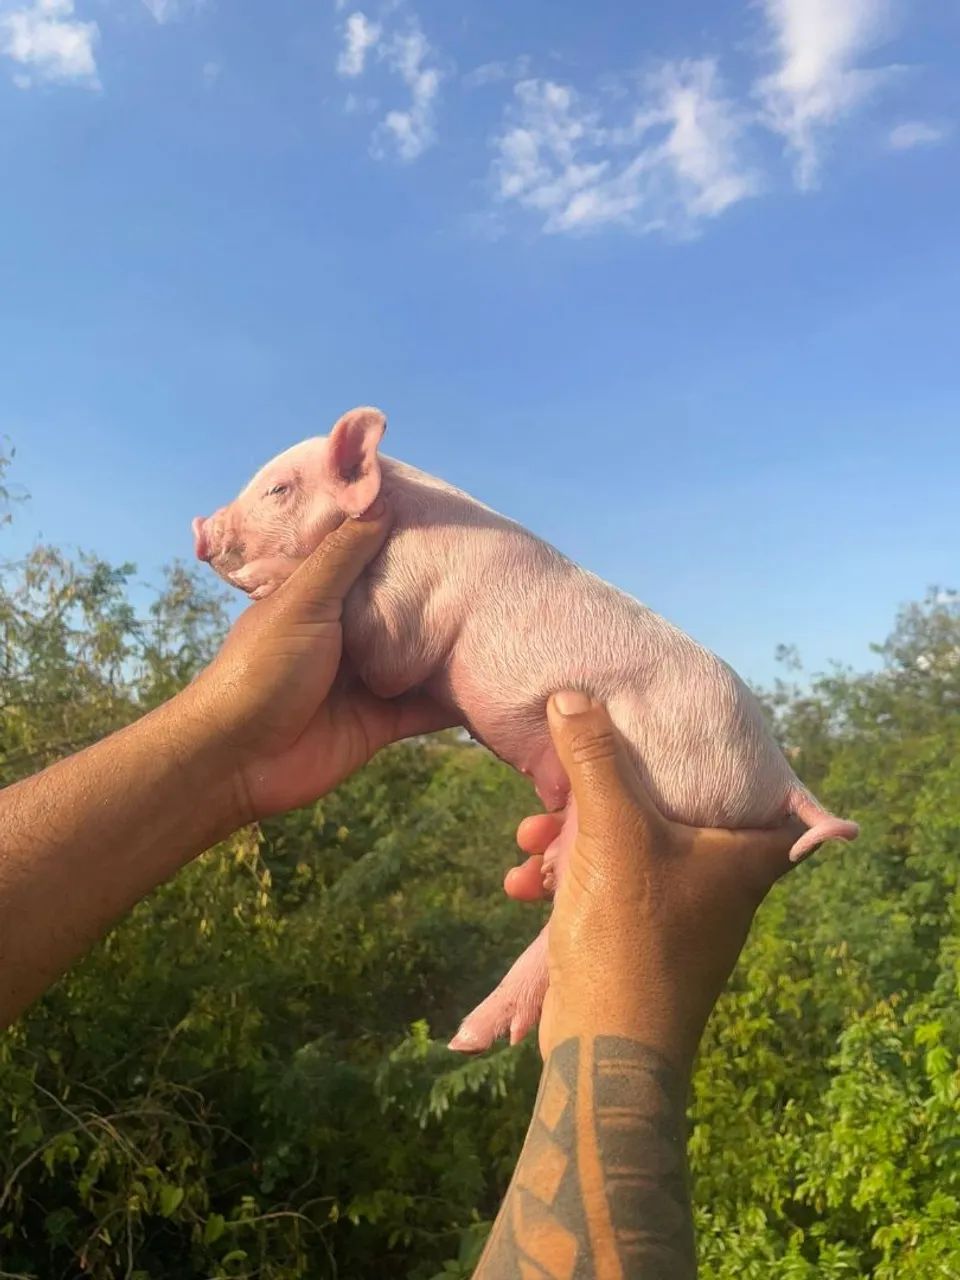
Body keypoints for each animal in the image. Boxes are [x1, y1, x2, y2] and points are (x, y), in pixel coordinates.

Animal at [192, 405, 859, 1052]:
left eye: (279, 489)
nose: (200, 527)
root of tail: (780, 771)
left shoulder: (409, 606)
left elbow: (386, 661)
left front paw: (265, 581)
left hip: (669, 791)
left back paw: (469, 1036)